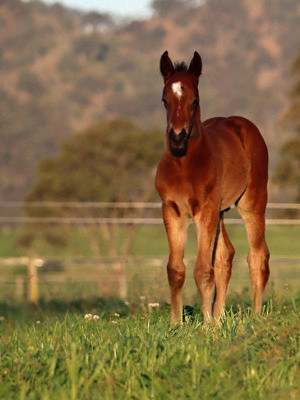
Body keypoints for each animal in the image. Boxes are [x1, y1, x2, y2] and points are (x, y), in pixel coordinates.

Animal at [156, 50, 270, 324]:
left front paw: (206, 325)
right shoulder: (172, 210)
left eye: (194, 101)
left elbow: (202, 269)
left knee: (258, 256)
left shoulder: (204, 210)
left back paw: (255, 317)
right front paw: (177, 324)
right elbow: (175, 269)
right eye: (164, 100)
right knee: (225, 256)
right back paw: (220, 318)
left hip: (252, 202)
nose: (177, 137)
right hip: (220, 212)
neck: (184, 165)